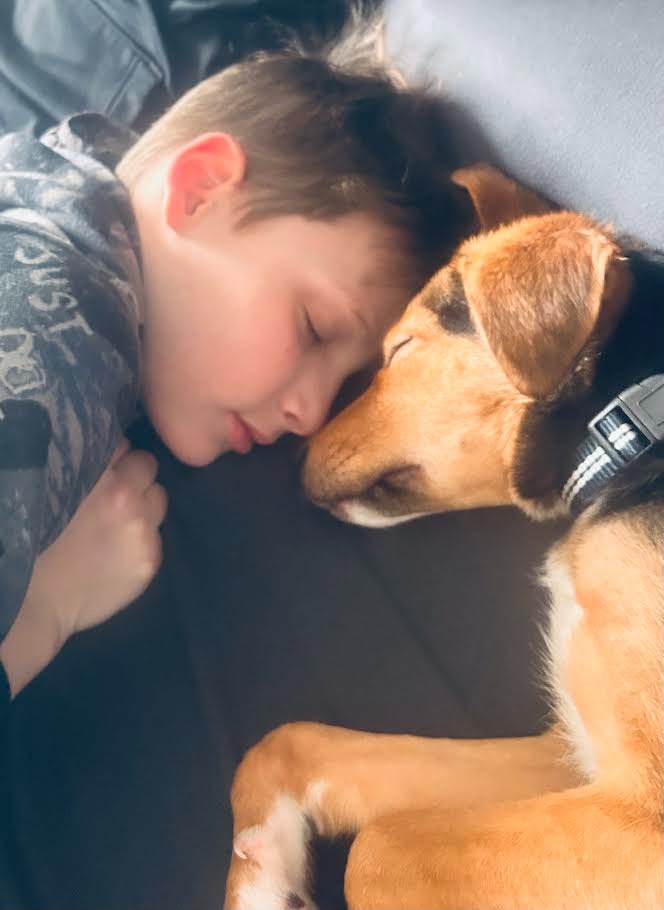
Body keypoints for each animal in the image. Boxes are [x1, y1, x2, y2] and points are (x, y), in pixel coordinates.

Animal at [224, 165, 664, 910]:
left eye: (402, 348)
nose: (292, 455)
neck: (630, 428)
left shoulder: (638, 816)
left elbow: (377, 851)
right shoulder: (575, 756)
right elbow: (292, 745)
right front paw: (262, 878)